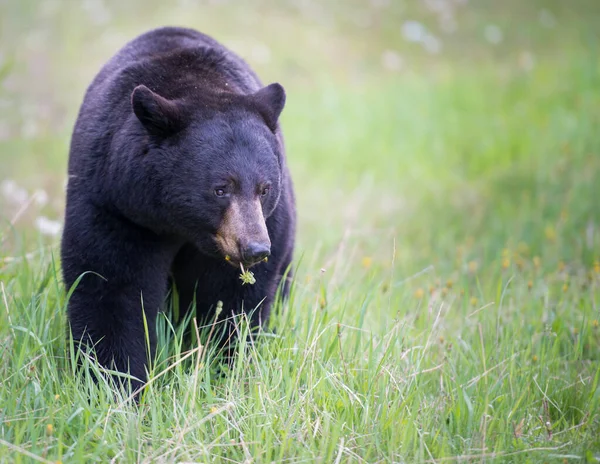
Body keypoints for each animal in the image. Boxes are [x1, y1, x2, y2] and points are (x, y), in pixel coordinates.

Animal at [61, 24, 296, 388]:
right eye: (220, 189)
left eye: (265, 188)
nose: (255, 248)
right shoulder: (115, 205)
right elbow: (110, 285)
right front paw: (115, 381)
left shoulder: (269, 222)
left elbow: (234, 300)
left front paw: (225, 367)